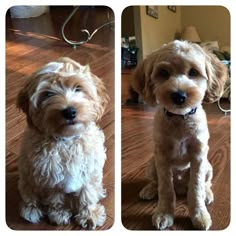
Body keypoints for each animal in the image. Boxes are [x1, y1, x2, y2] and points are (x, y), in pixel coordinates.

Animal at [16, 56, 109, 229]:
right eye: (48, 94)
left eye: (78, 88)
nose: (70, 111)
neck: (67, 140)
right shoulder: (49, 175)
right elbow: (55, 197)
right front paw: (58, 213)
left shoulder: (89, 170)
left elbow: (87, 194)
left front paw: (89, 215)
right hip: (26, 175)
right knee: (29, 194)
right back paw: (31, 209)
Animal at [132, 40, 228, 230]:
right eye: (163, 73)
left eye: (194, 72)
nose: (179, 95)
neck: (179, 118)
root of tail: (182, 187)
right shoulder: (161, 157)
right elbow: (165, 188)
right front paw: (164, 213)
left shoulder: (199, 157)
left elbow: (196, 187)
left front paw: (199, 215)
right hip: (151, 164)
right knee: (157, 182)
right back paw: (149, 189)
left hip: (208, 167)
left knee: (205, 183)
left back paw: (207, 193)